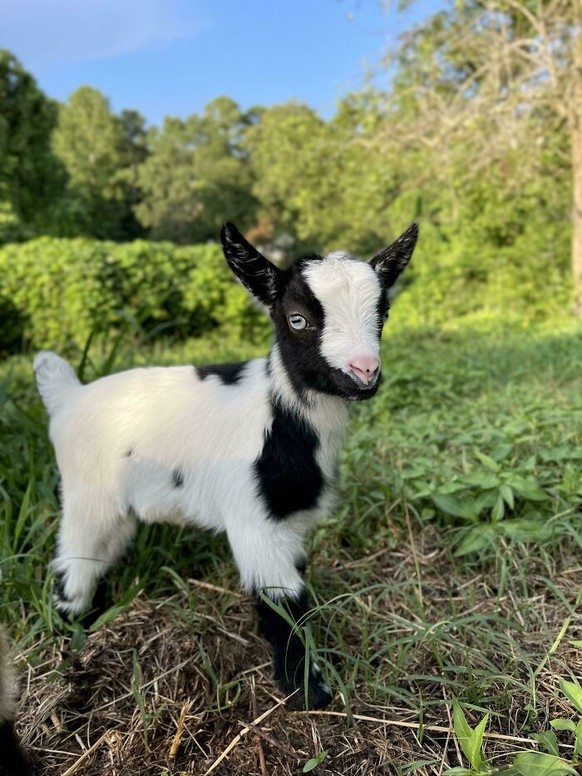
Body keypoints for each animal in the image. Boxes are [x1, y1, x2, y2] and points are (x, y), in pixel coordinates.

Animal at [35, 223, 420, 708]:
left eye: (382, 313)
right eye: (297, 319)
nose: (364, 371)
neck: (281, 419)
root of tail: (68, 395)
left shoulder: (290, 521)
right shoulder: (254, 520)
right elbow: (284, 604)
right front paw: (307, 692)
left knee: (101, 552)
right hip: (88, 492)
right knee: (74, 560)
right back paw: (73, 628)